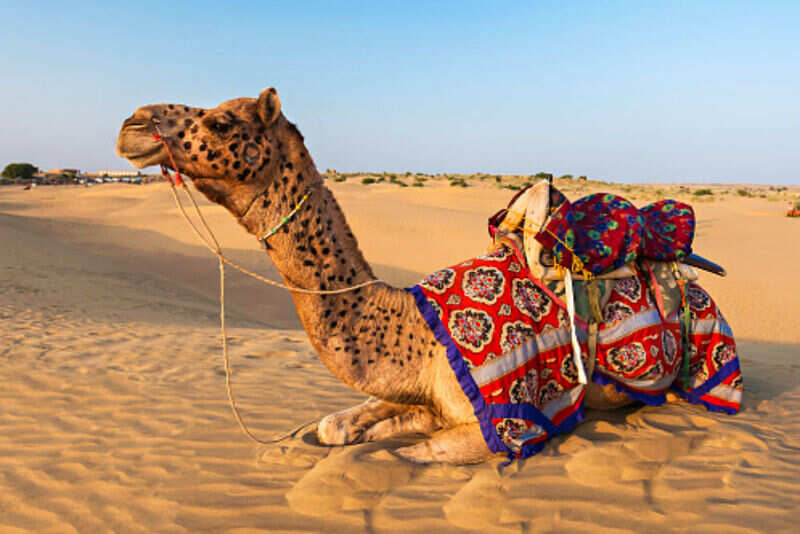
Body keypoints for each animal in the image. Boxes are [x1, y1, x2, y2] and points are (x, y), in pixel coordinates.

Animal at [116, 87, 691, 464]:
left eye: (219, 122)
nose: (132, 124)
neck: (413, 327)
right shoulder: (413, 386)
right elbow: (336, 426)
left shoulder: (507, 423)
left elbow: (412, 452)